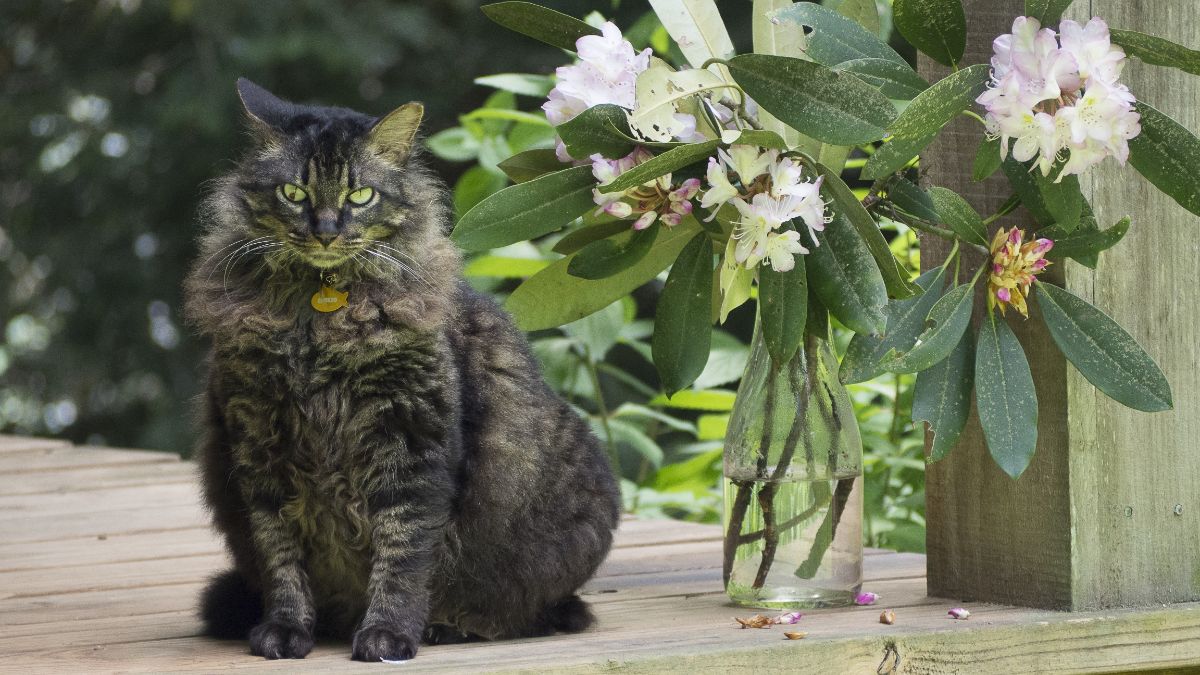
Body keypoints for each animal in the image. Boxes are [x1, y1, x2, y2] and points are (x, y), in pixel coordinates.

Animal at [184, 77, 628, 658]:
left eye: (360, 196)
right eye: (294, 194)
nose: (326, 231)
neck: (317, 316)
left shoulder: (411, 441)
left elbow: (403, 553)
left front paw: (387, 634)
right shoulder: (259, 444)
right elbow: (281, 556)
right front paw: (285, 630)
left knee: (530, 614)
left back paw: (447, 627)